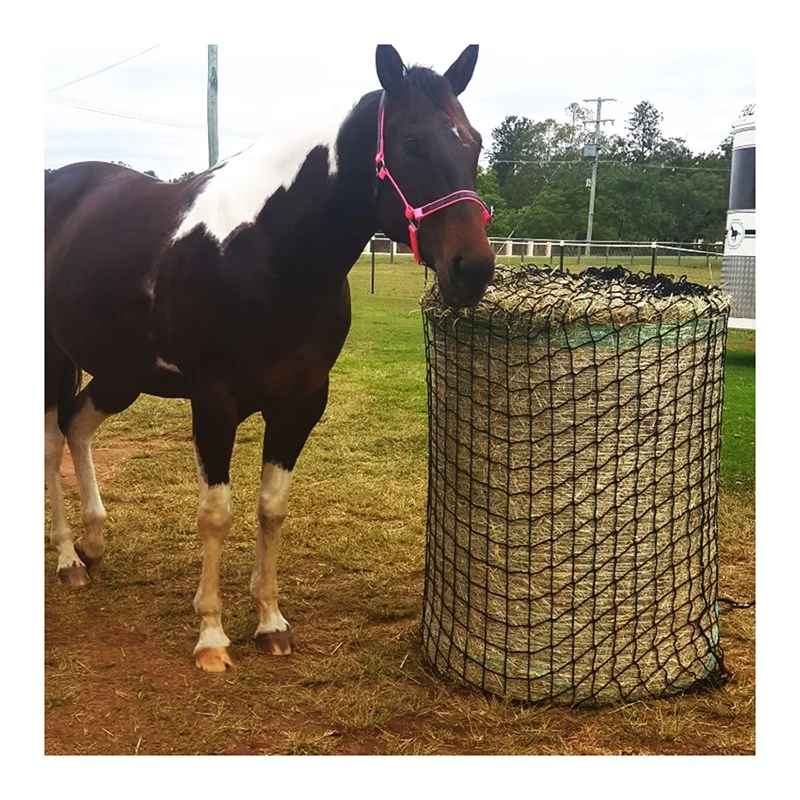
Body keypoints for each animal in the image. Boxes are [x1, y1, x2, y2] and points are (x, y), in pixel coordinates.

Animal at [45, 42, 494, 668]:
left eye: (473, 142)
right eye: (411, 143)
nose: (472, 269)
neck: (265, 252)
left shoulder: (300, 403)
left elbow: (271, 507)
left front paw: (270, 621)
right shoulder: (214, 404)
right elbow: (216, 513)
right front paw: (211, 636)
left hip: (120, 370)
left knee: (77, 425)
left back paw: (92, 542)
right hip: (54, 357)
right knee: (52, 441)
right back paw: (67, 559)